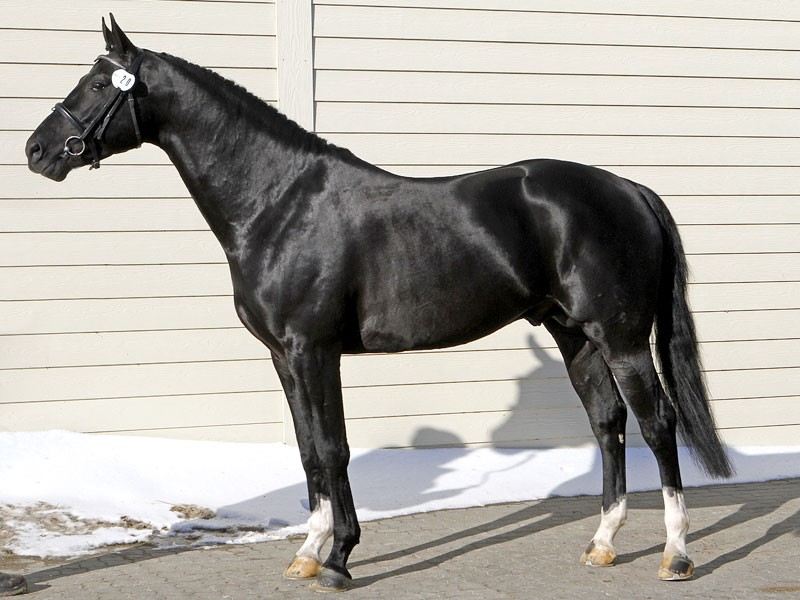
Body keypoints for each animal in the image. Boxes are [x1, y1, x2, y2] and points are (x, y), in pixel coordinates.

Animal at [24, 15, 732, 593]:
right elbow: (309, 450)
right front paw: (309, 554)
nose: (36, 150)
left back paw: (675, 555)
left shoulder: (314, 351)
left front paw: (339, 559)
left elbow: (333, 448)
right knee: (607, 422)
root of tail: (628, 189)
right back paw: (602, 545)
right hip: (573, 335)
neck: (279, 202)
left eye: (97, 84)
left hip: (620, 336)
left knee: (657, 424)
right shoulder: (285, 358)